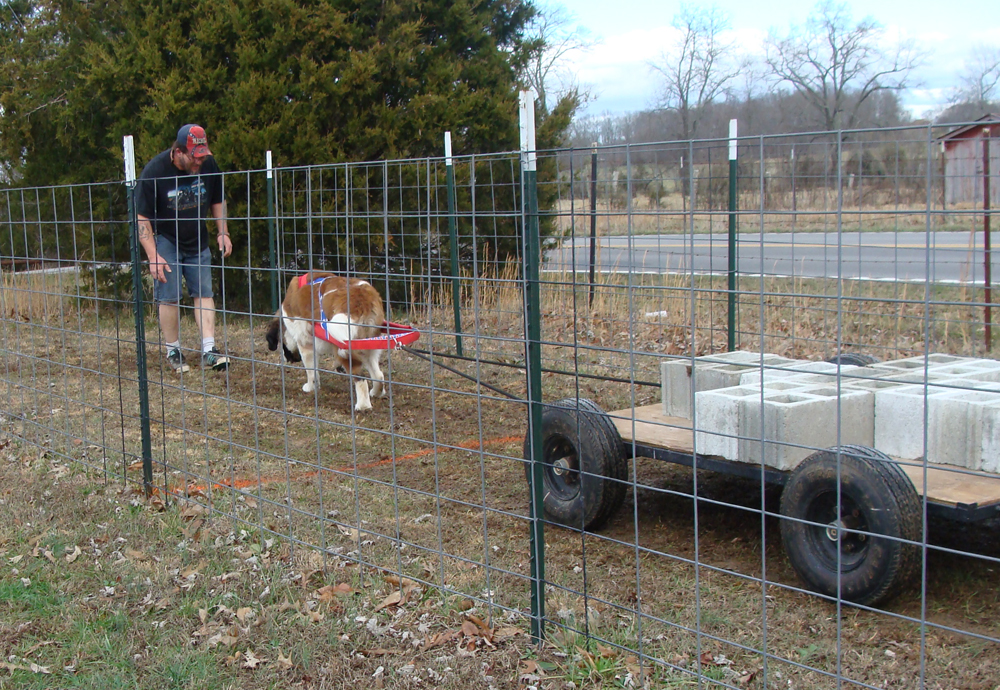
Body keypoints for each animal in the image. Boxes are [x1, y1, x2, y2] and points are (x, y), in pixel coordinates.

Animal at [266, 268, 386, 408]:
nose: (286, 359)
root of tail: (362, 298)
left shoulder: (305, 343)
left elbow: (311, 370)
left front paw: (310, 387)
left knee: (360, 379)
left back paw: (363, 406)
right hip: (369, 344)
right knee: (378, 375)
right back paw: (376, 392)